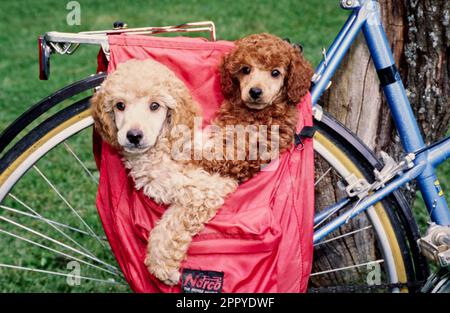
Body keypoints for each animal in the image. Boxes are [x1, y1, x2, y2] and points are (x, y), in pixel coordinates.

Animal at [92, 58, 239, 286]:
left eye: (155, 106)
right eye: (120, 105)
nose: (134, 136)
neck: (160, 148)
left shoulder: (206, 190)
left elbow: (169, 224)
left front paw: (160, 266)